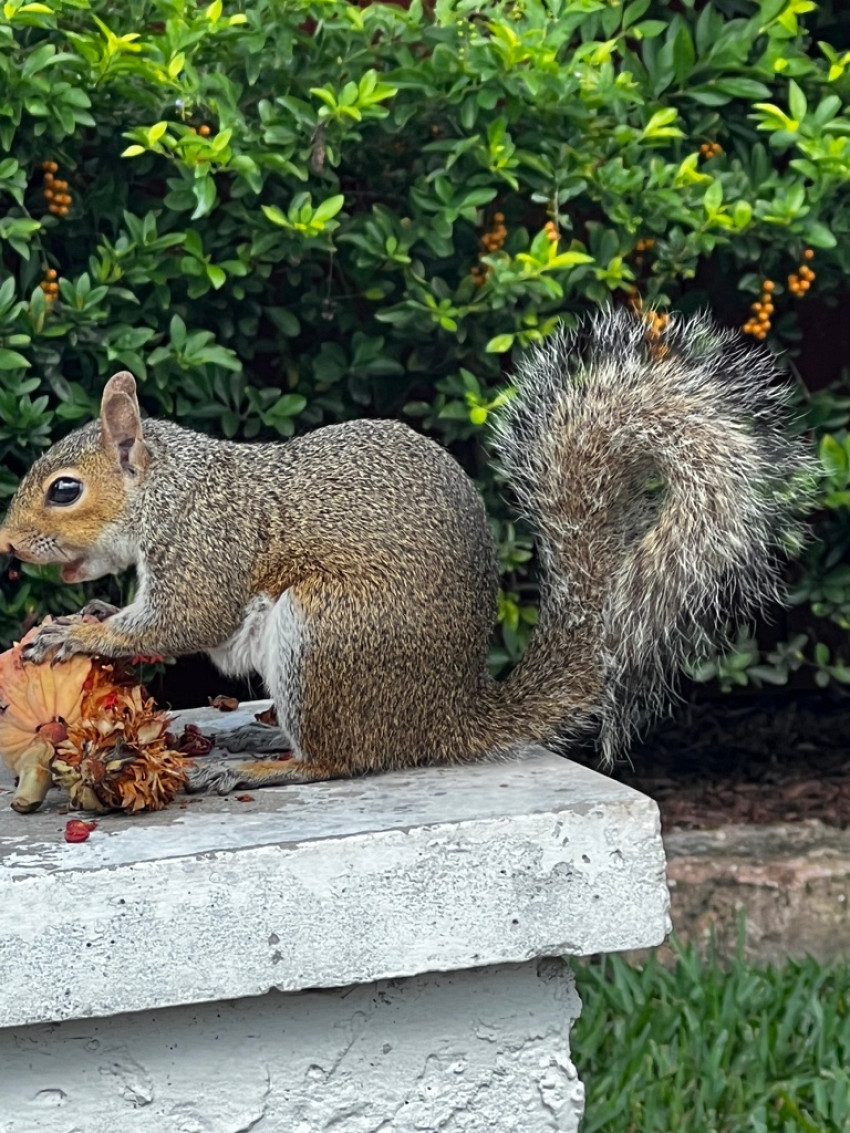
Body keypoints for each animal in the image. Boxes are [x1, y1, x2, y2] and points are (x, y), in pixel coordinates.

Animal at [0, 309, 809, 794]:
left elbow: (184, 621)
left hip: (326, 634)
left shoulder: (208, 545)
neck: (170, 491)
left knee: (340, 761)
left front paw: (72, 634)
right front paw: (91, 613)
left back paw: (270, 767)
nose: (6, 544)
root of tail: (445, 718)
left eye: (65, 490)